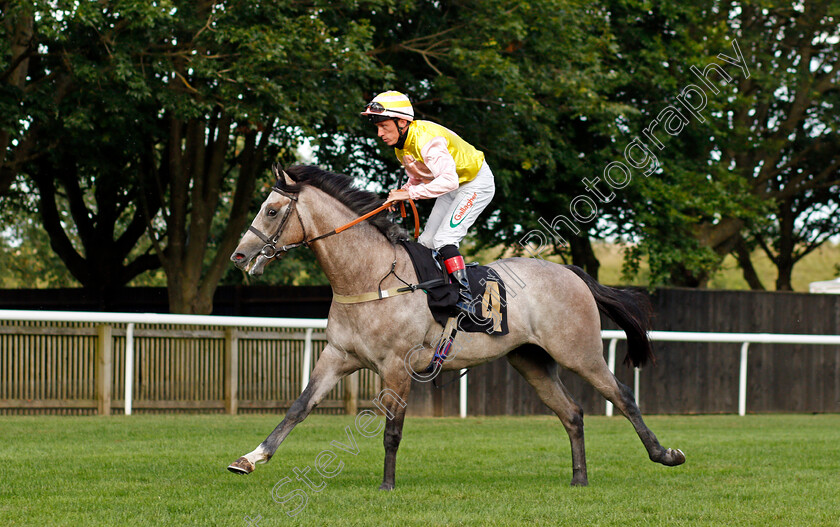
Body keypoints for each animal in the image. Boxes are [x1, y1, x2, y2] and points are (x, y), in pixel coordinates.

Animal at [228, 166, 684, 490]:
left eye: (271, 210)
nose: (239, 256)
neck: (370, 276)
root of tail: (571, 272)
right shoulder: (338, 357)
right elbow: (299, 407)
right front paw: (250, 458)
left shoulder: (397, 366)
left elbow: (392, 429)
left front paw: (387, 485)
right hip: (531, 361)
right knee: (572, 413)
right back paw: (580, 478)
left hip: (580, 352)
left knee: (622, 396)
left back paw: (665, 454)